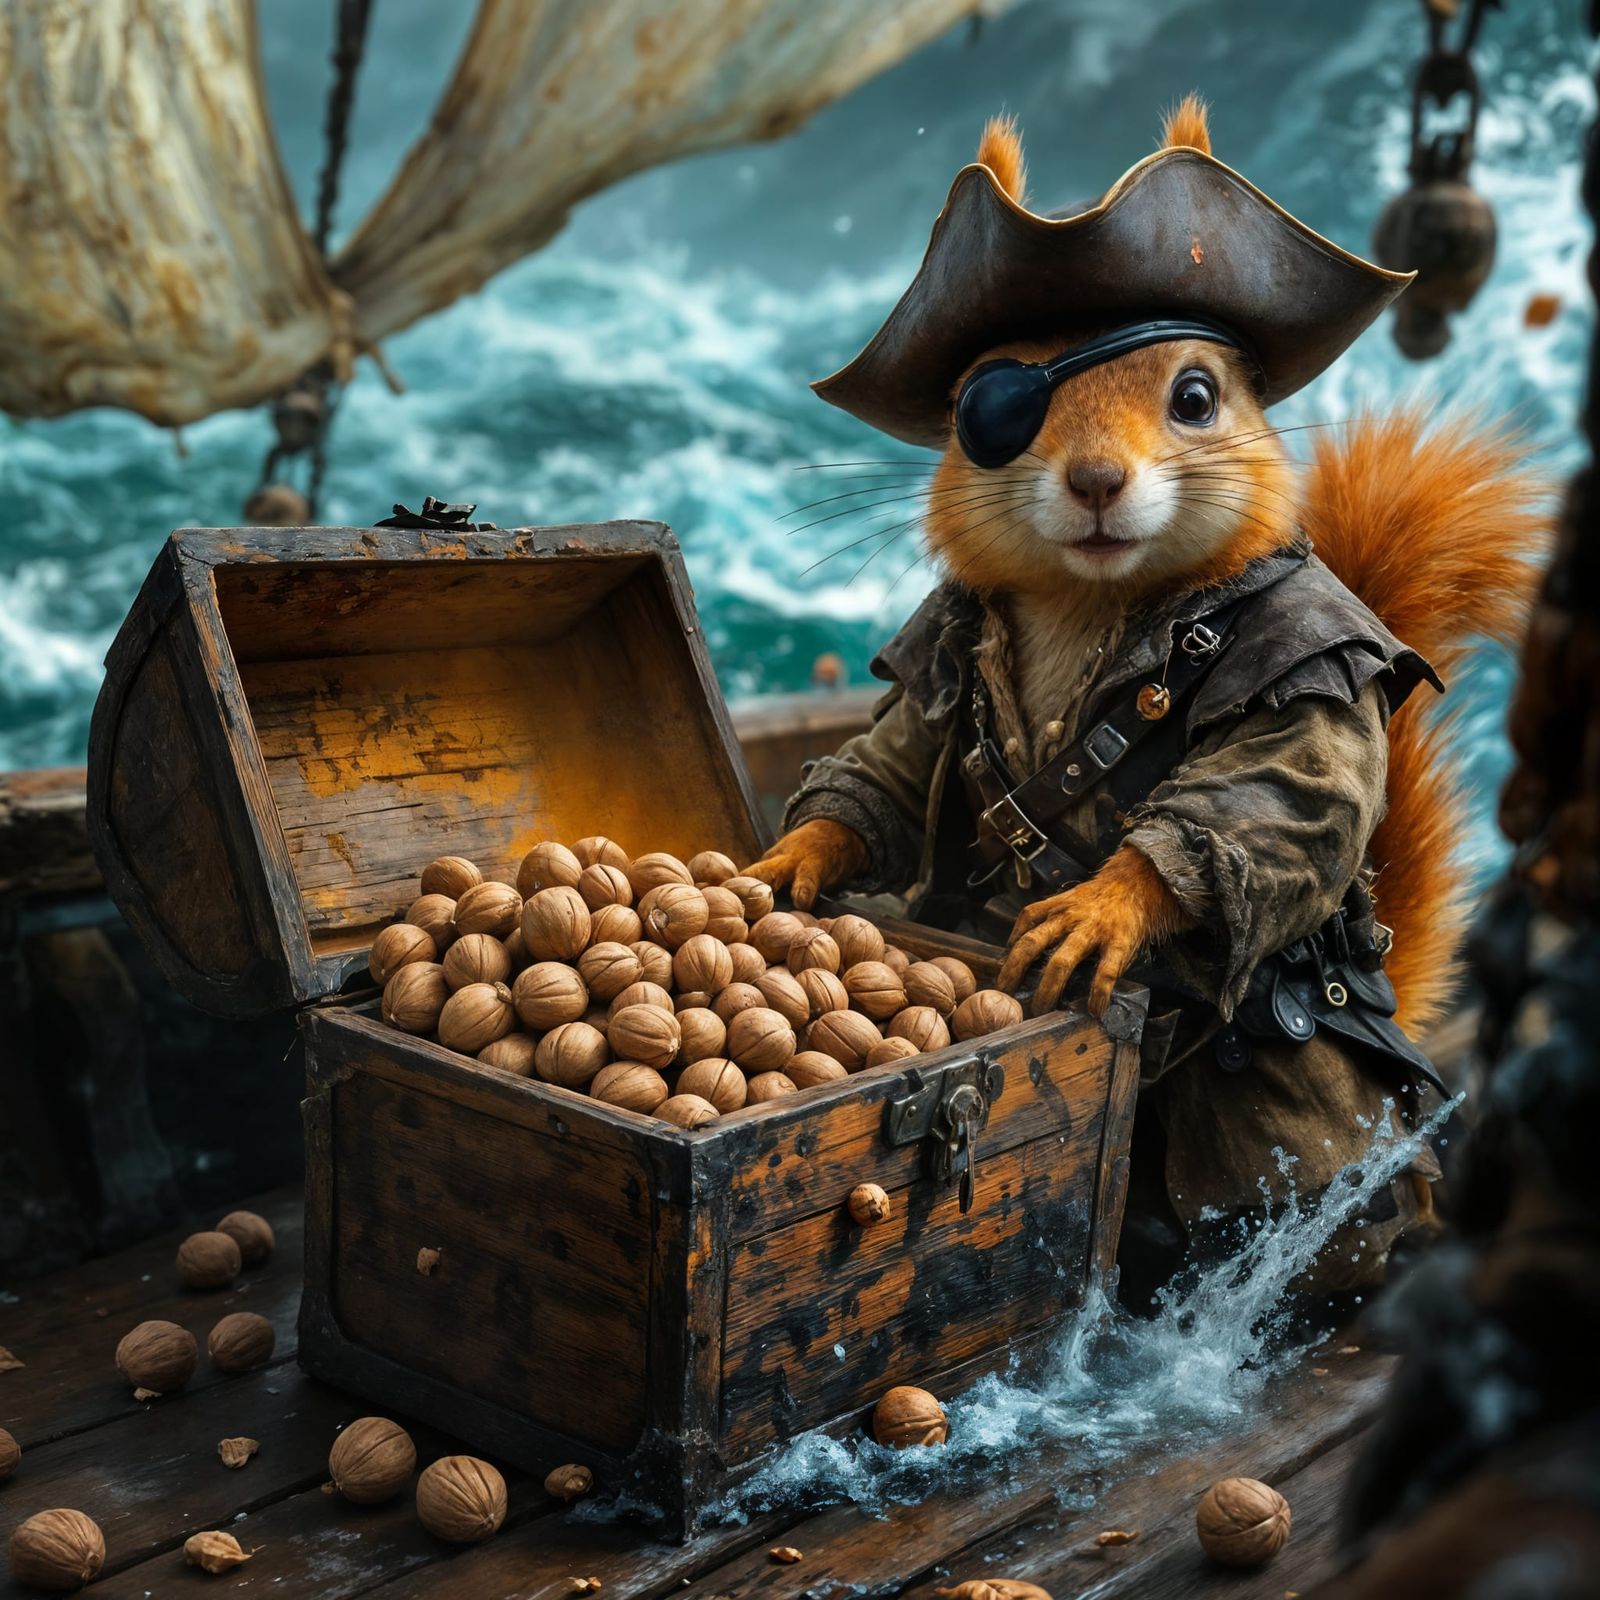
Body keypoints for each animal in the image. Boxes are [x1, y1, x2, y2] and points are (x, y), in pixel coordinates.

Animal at [745, 100, 1547, 1289]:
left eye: (1197, 396)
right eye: (984, 409)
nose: (1094, 481)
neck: (1092, 607)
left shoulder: (1309, 663)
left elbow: (1278, 797)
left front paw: (1102, 905)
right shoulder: (943, 650)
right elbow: (888, 765)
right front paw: (799, 854)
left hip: (1288, 1086)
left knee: (1320, 1184)